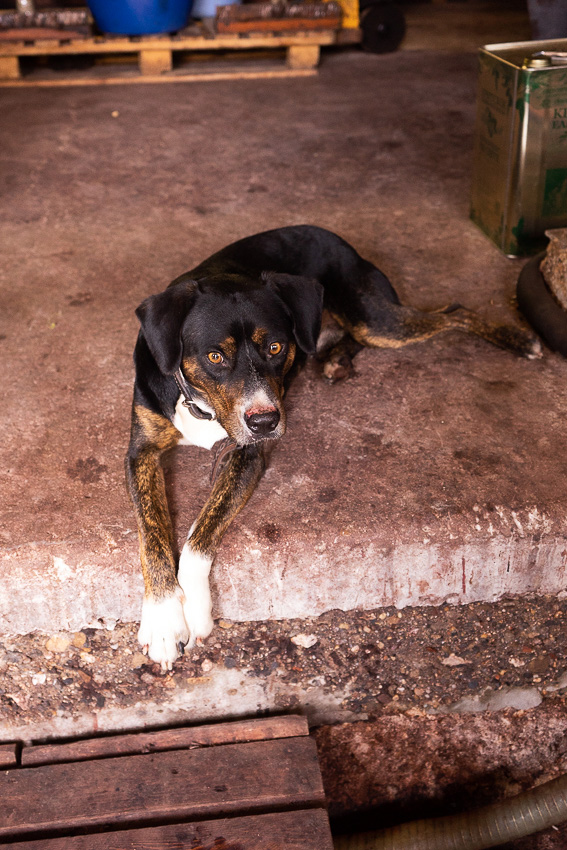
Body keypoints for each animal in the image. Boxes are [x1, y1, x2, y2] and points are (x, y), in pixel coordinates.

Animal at [126, 225, 544, 668]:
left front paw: (193, 613)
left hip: (376, 320)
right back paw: (336, 358)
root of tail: (335, 236)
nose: (266, 422)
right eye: (215, 356)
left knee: (453, 310)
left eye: (275, 347)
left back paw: (518, 339)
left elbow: (197, 539)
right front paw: (163, 620)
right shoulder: (141, 453)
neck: (201, 406)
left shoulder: (248, 455)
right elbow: (152, 535)